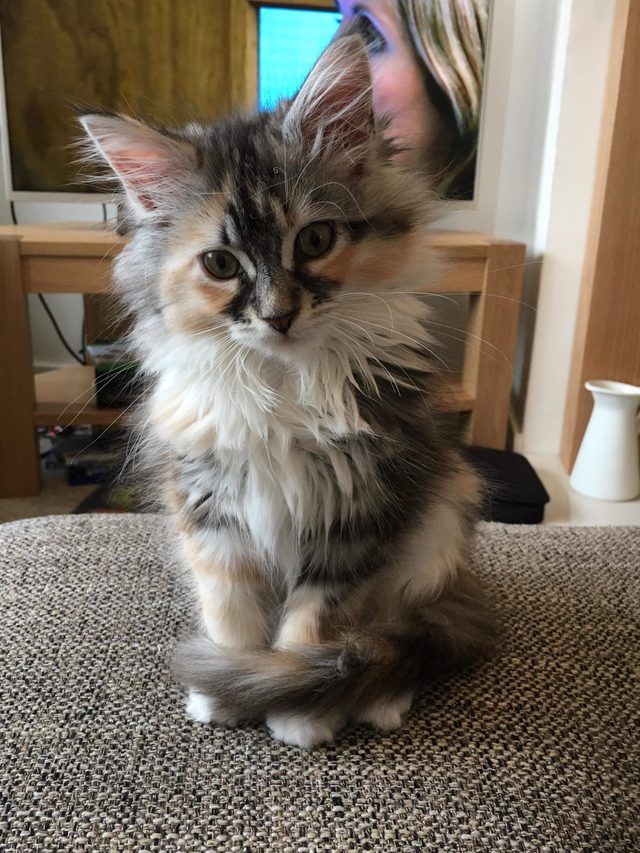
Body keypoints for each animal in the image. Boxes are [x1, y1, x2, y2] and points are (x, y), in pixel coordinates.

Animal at [80, 35, 496, 744]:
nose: (278, 316)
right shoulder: (211, 512)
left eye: (316, 239)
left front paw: (297, 712)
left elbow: (313, 626)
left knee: (400, 630)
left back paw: (375, 696)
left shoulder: (359, 513)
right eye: (221, 264)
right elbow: (232, 615)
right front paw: (227, 689)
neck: (282, 386)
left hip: (443, 514)